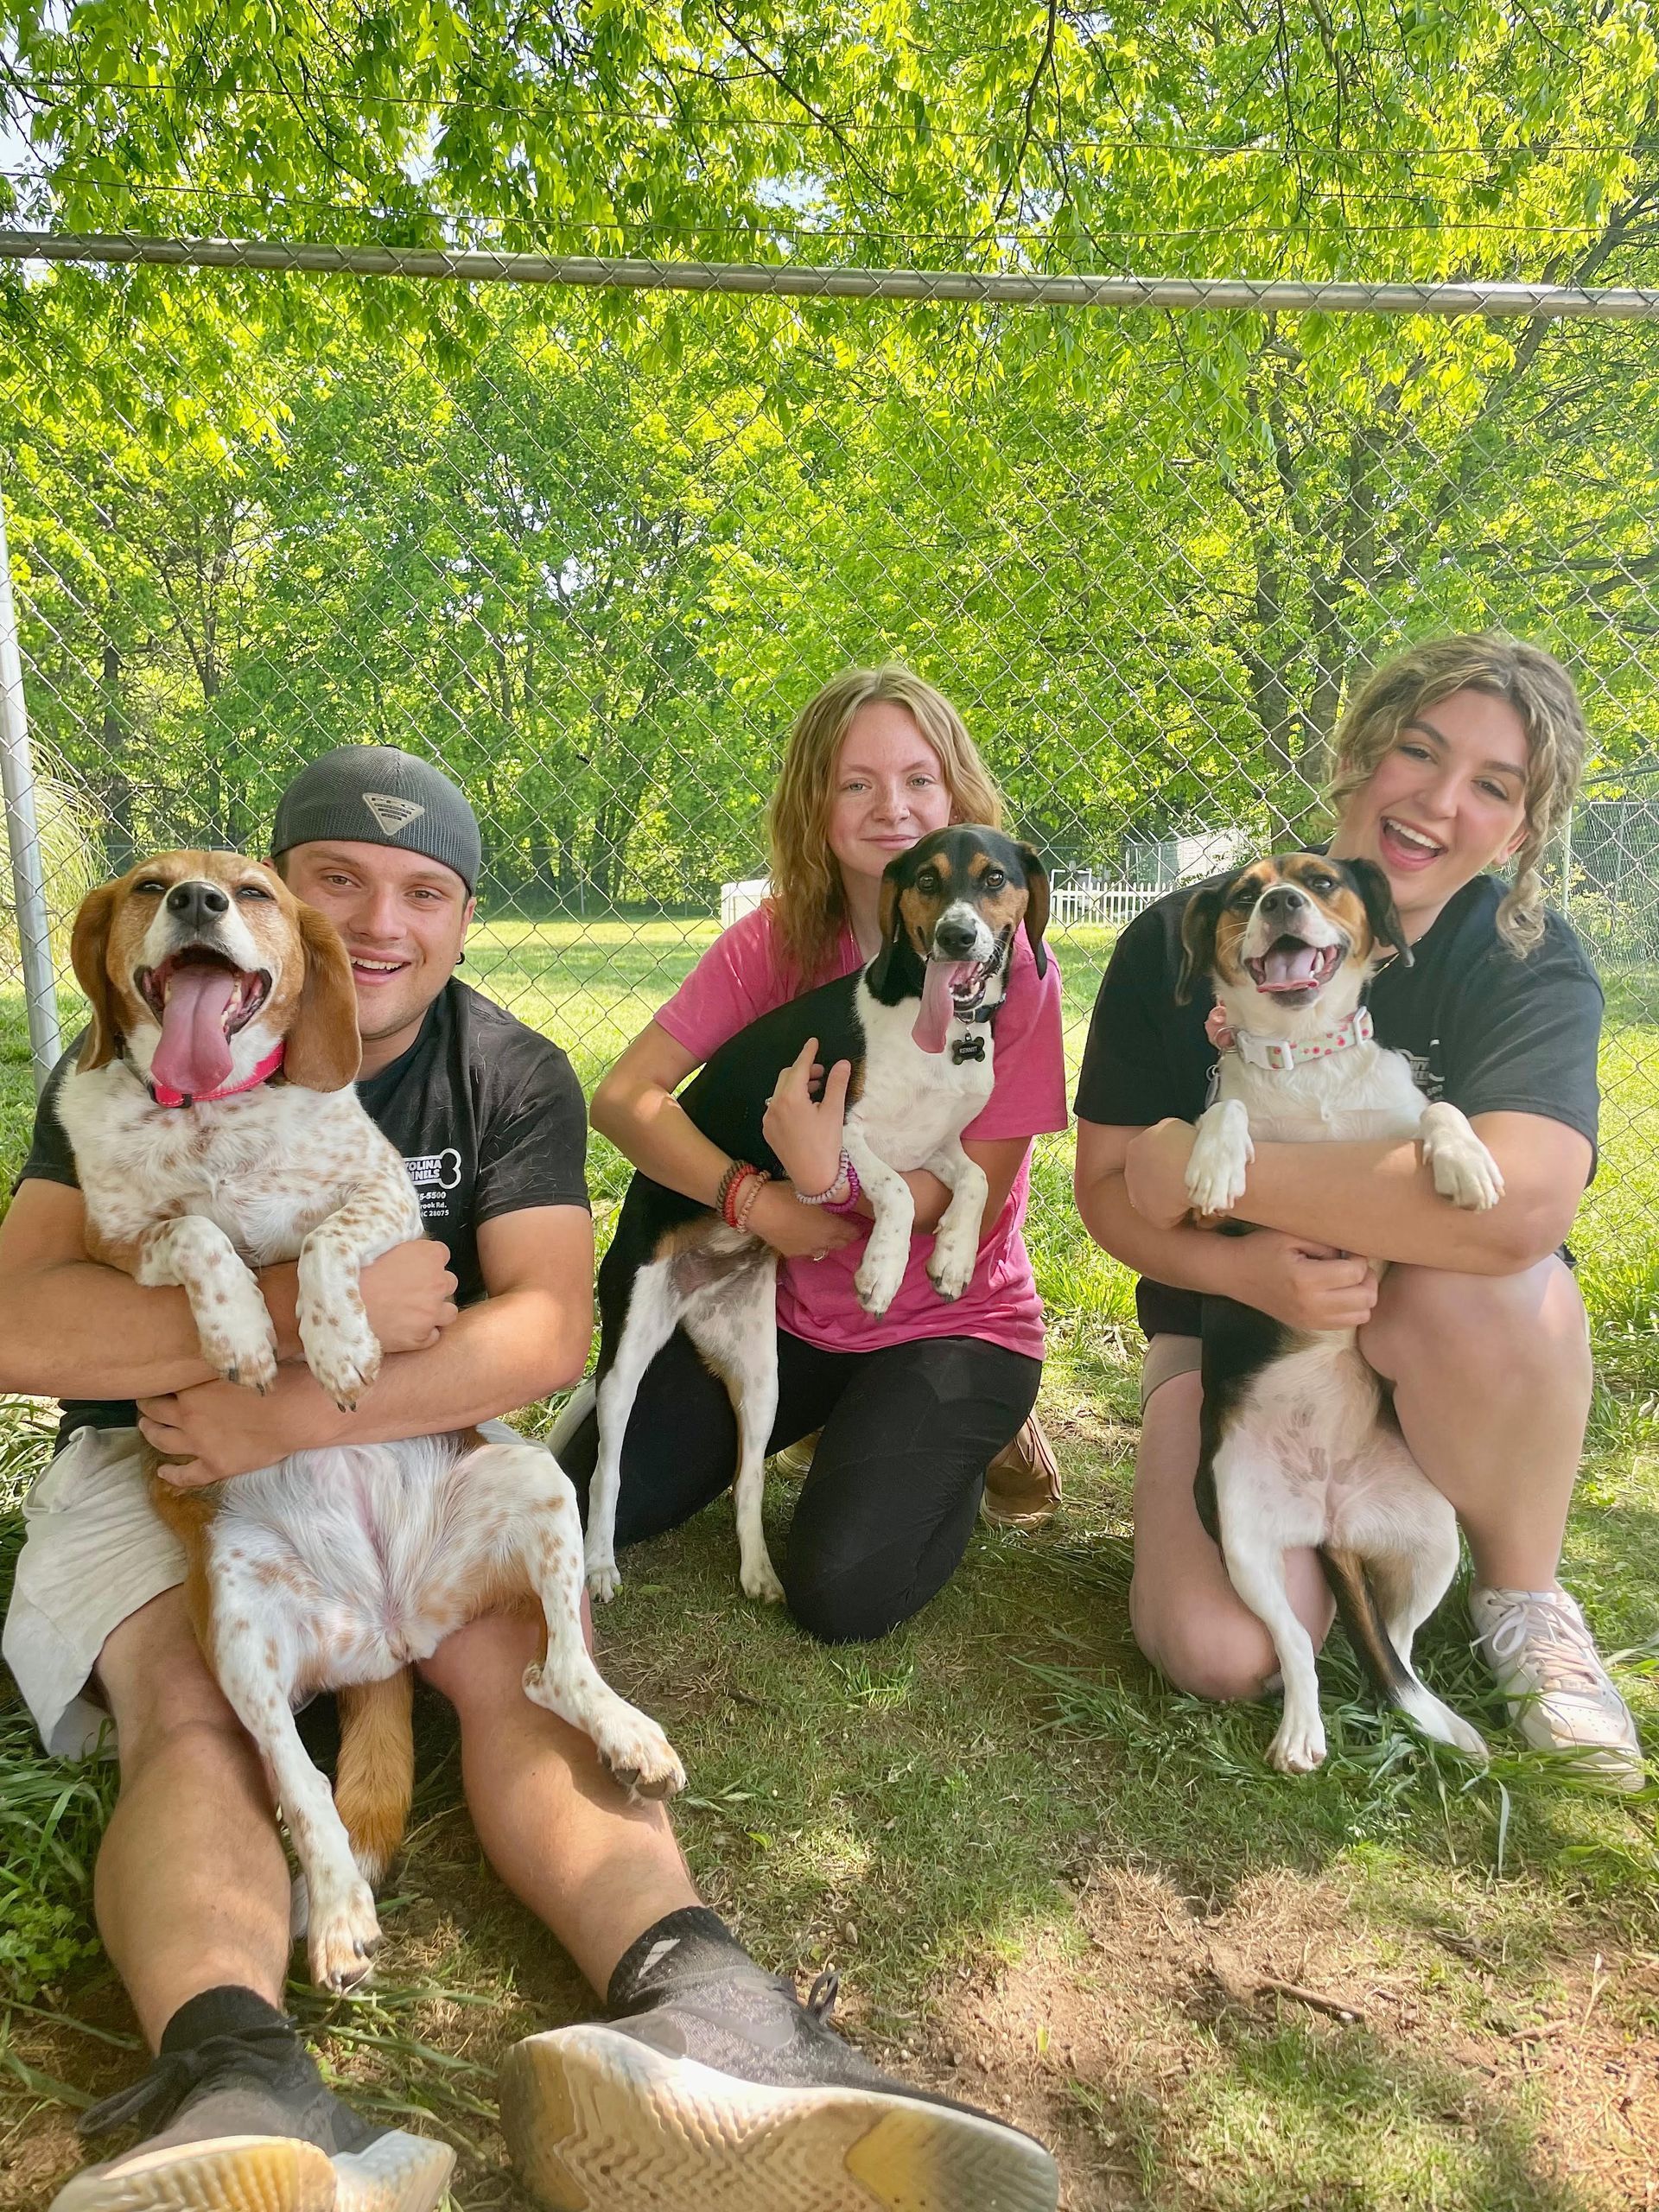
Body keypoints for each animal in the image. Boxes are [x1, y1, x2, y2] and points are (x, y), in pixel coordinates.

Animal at [60, 851, 684, 1990]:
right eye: (148, 885)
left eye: (252, 890)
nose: (198, 901)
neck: (215, 1116)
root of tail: (392, 1632)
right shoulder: (112, 1246)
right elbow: (197, 1234)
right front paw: (242, 1333)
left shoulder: (386, 1205)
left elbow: (325, 1240)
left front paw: (339, 1340)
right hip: (237, 1628)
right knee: (303, 1786)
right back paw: (340, 1909)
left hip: (535, 1485)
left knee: (555, 1668)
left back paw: (624, 1734)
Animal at [1177, 851, 1500, 1774]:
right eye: (1243, 896)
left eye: (1319, 881)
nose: (1283, 902)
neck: (1306, 1063)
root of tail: (1330, 1519)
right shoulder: (1207, 1223)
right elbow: (1224, 1108)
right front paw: (1216, 1160)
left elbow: (1438, 1108)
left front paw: (1465, 1160)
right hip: (1243, 1537)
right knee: (1297, 1647)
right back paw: (1302, 1730)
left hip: (1434, 1539)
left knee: (1394, 1648)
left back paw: (1437, 1720)